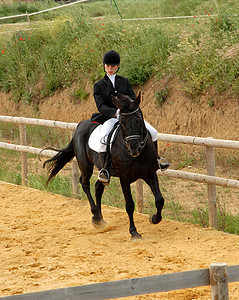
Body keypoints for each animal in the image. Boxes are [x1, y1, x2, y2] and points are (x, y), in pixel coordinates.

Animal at [43, 93, 164, 239]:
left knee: (97, 187)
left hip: (103, 170)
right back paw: (96, 216)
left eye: (139, 119)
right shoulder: (124, 178)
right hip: (85, 166)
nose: (134, 148)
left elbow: (159, 200)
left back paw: (101, 219)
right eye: (122, 122)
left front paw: (154, 218)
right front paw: (134, 232)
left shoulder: (150, 173)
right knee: (85, 183)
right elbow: (129, 205)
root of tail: (80, 125)